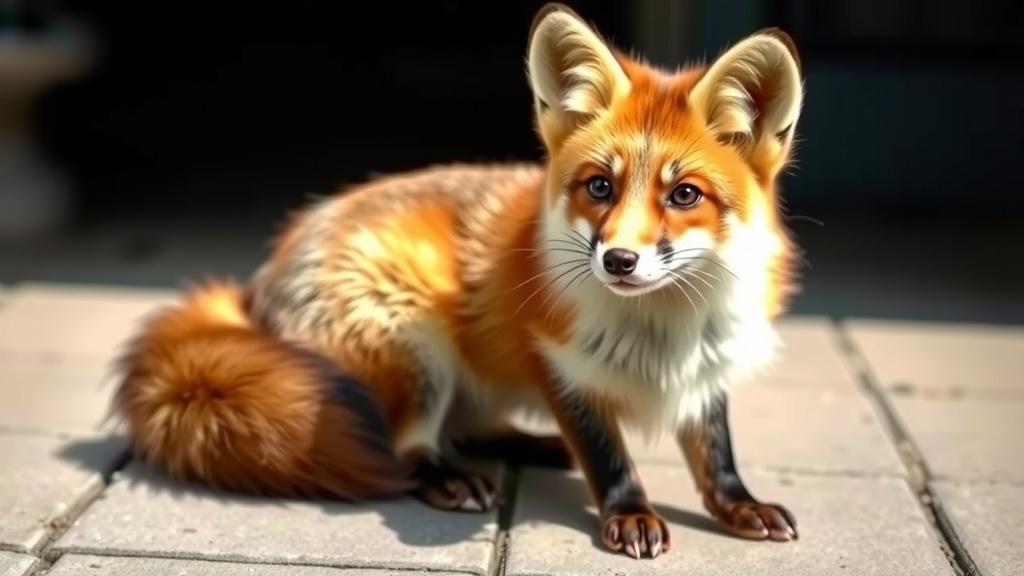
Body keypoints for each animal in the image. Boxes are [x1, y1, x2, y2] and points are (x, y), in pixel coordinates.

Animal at [111, 2, 805, 561]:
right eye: (599, 186)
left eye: (684, 194)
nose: (617, 261)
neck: (665, 333)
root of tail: (260, 282)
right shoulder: (559, 367)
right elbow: (608, 456)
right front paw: (630, 512)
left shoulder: (707, 366)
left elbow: (716, 455)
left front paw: (739, 505)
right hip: (416, 344)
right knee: (406, 449)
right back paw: (450, 477)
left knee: (472, 427)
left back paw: (531, 447)